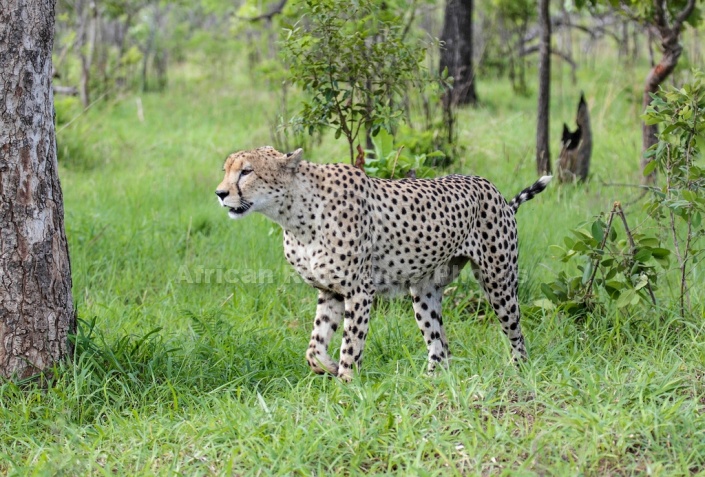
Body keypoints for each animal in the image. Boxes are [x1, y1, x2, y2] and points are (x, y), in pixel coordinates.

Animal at [214, 145, 552, 380]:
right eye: (226, 170)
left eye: (246, 172)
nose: (220, 193)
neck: (295, 215)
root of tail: (493, 189)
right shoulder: (330, 291)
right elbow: (314, 345)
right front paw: (327, 366)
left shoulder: (359, 290)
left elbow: (351, 342)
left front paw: (347, 383)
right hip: (424, 294)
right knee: (440, 347)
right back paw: (429, 382)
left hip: (498, 280)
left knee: (516, 334)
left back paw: (518, 372)